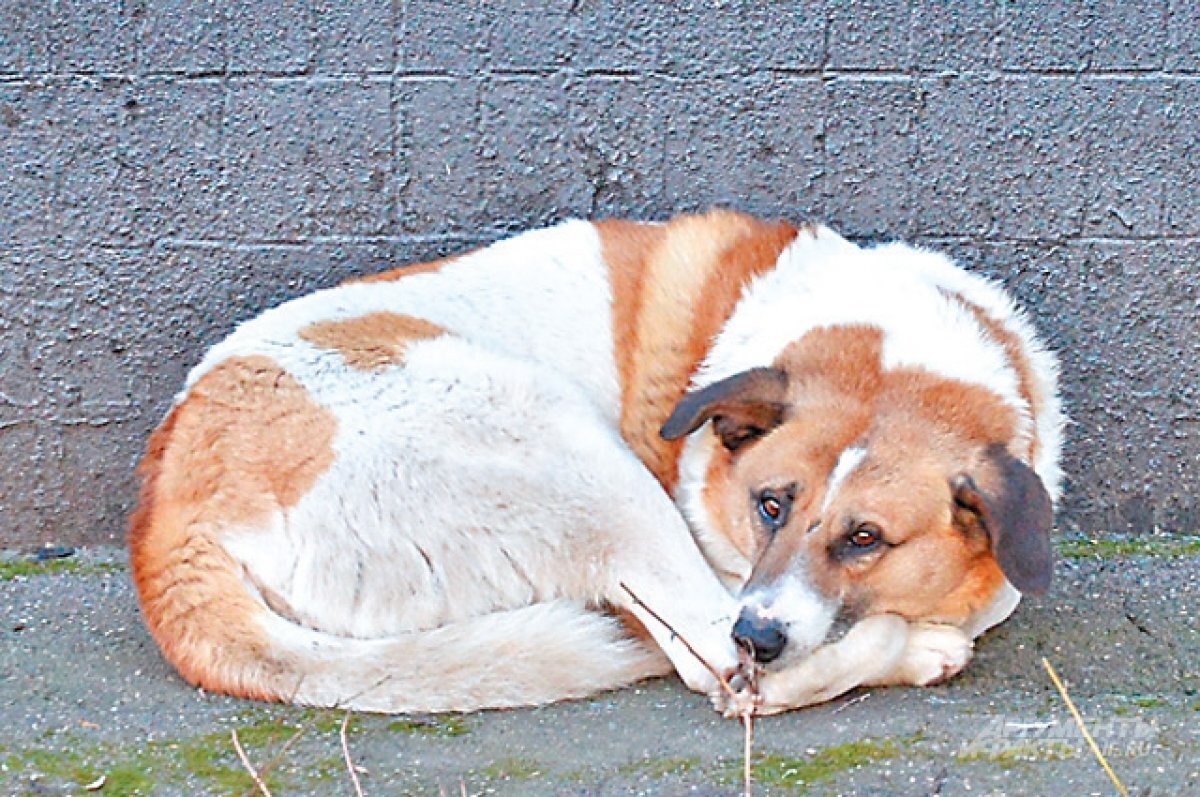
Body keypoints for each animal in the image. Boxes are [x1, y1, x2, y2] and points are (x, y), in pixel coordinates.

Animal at [131, 211, 1065, 715]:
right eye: (770, 504)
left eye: (865, 537)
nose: (761, 633)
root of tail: (166, 513)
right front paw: (919, 635)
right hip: (569, 447)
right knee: (716, 667)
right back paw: (912, 650)